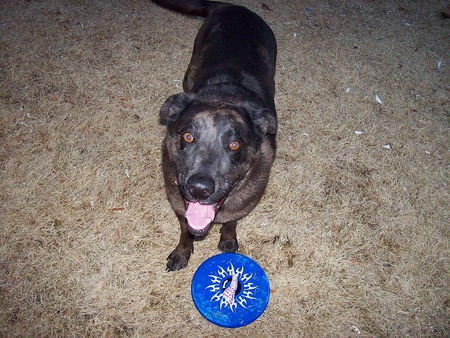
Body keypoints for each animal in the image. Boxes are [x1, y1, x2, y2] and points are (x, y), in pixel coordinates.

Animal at [153, 0, 276, 270]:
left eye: (234, 145)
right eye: (188, 137)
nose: (199, 189)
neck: (225, 95)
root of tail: (234, 6)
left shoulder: (242, 206)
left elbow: (231, 222)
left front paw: (228, 239)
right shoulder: (179, 204)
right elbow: (185, 230)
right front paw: (182, 252)